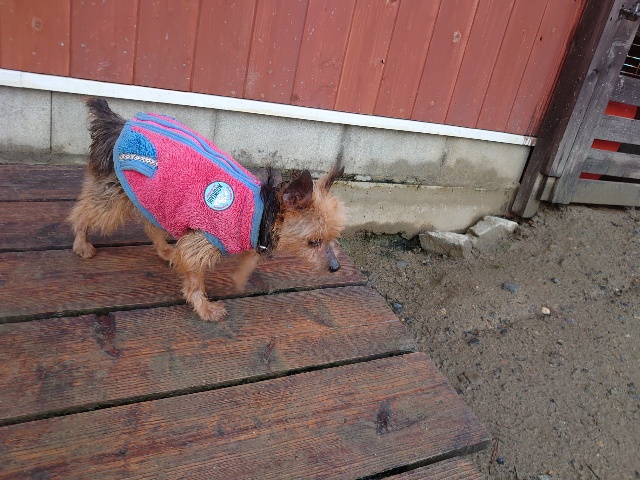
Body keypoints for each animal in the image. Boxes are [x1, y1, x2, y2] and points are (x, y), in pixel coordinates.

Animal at [68, 98, 346, 322]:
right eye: (313, 242)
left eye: (333, 239)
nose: (335, 267)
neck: (261, 212)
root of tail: (120, 124)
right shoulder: (201, 242)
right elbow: (194, 280)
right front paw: (206, 309)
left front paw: (239, 277)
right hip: (115, 193)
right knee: (83, 212)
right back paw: (82, 243)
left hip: (152, 194)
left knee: (149, 223)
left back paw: (164, 249)